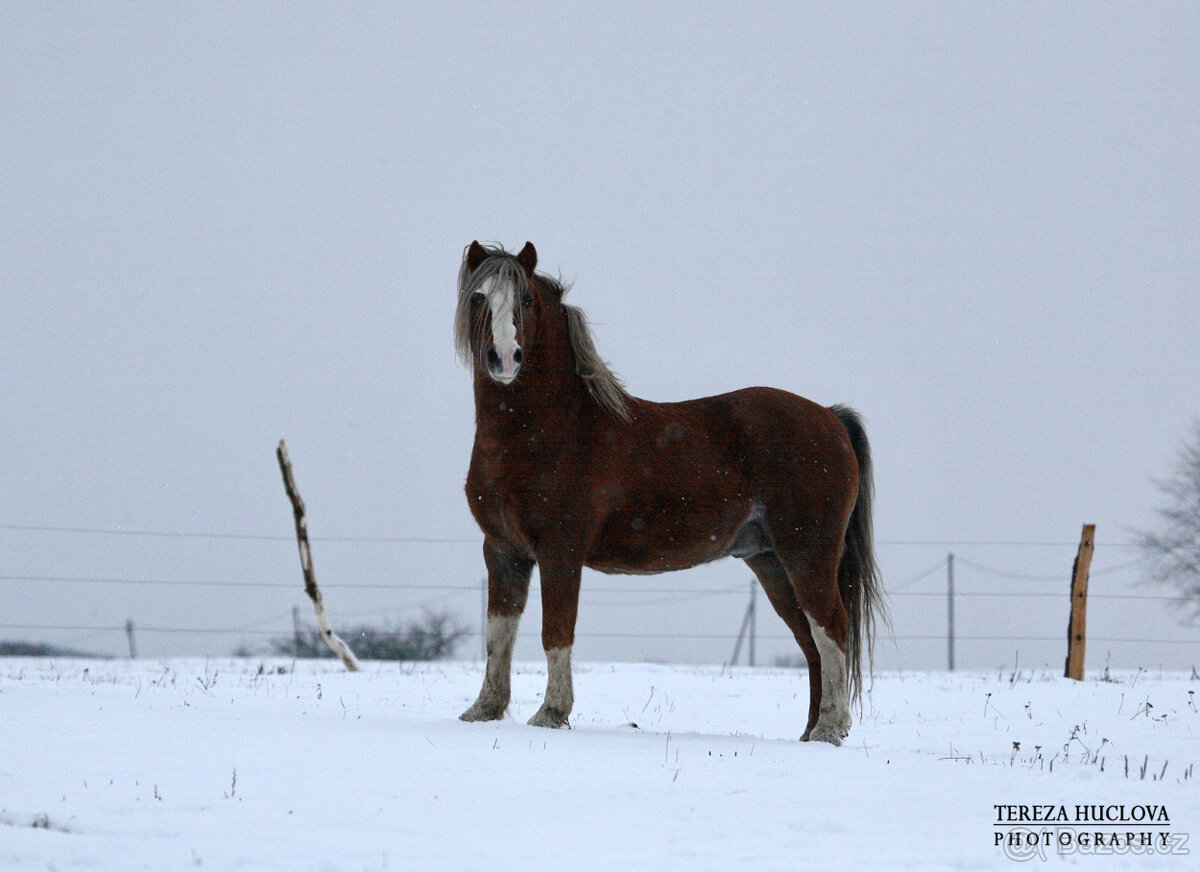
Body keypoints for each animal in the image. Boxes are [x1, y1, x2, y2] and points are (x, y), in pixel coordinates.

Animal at [454, 241, 887, 744]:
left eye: (525, 301)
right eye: (478, 298)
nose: (504, 357)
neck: (547, 428)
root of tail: (830, 417)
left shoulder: (559, 550)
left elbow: (555, 633)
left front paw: (551, 713)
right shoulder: (503, 551)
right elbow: (498, 634)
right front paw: (483, 710)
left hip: (808, 554)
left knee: (831, 630)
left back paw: (830, 728)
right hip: (772, 563)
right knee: (810, 641)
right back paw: (810, 733)